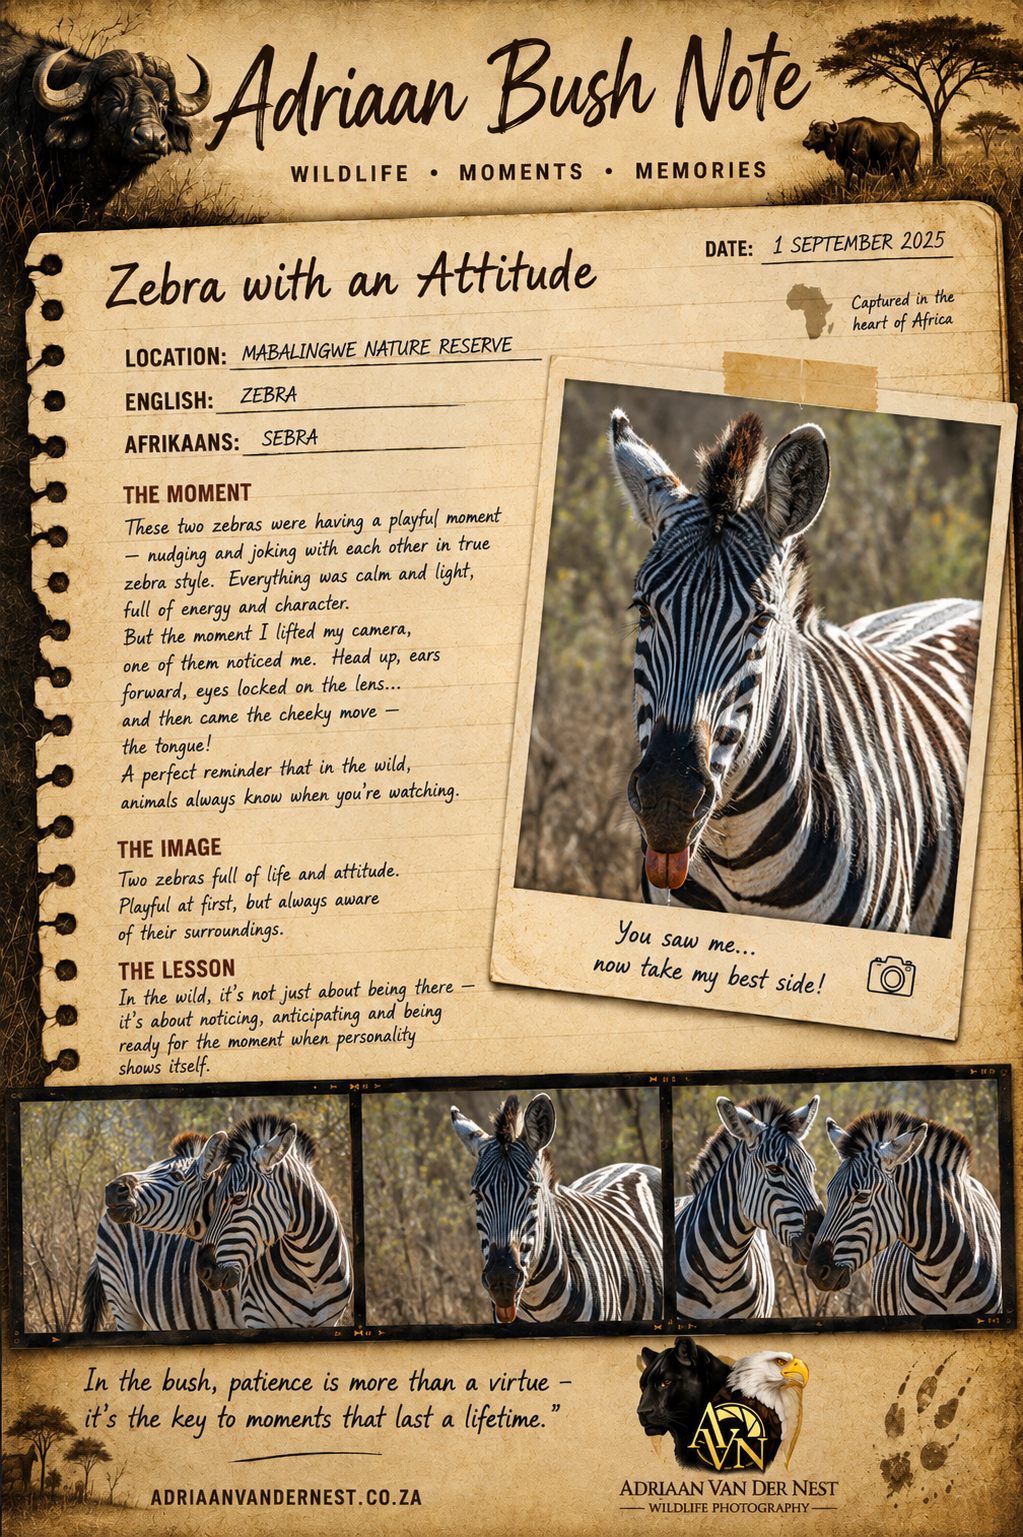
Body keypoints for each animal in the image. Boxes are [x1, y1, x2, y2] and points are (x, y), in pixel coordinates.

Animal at [196, 1115, 352, 1328]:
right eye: (215, 1198)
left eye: (238, 1199)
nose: (203, 1269)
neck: (312, 1273)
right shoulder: (257, 1317)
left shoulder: (329, 1321)